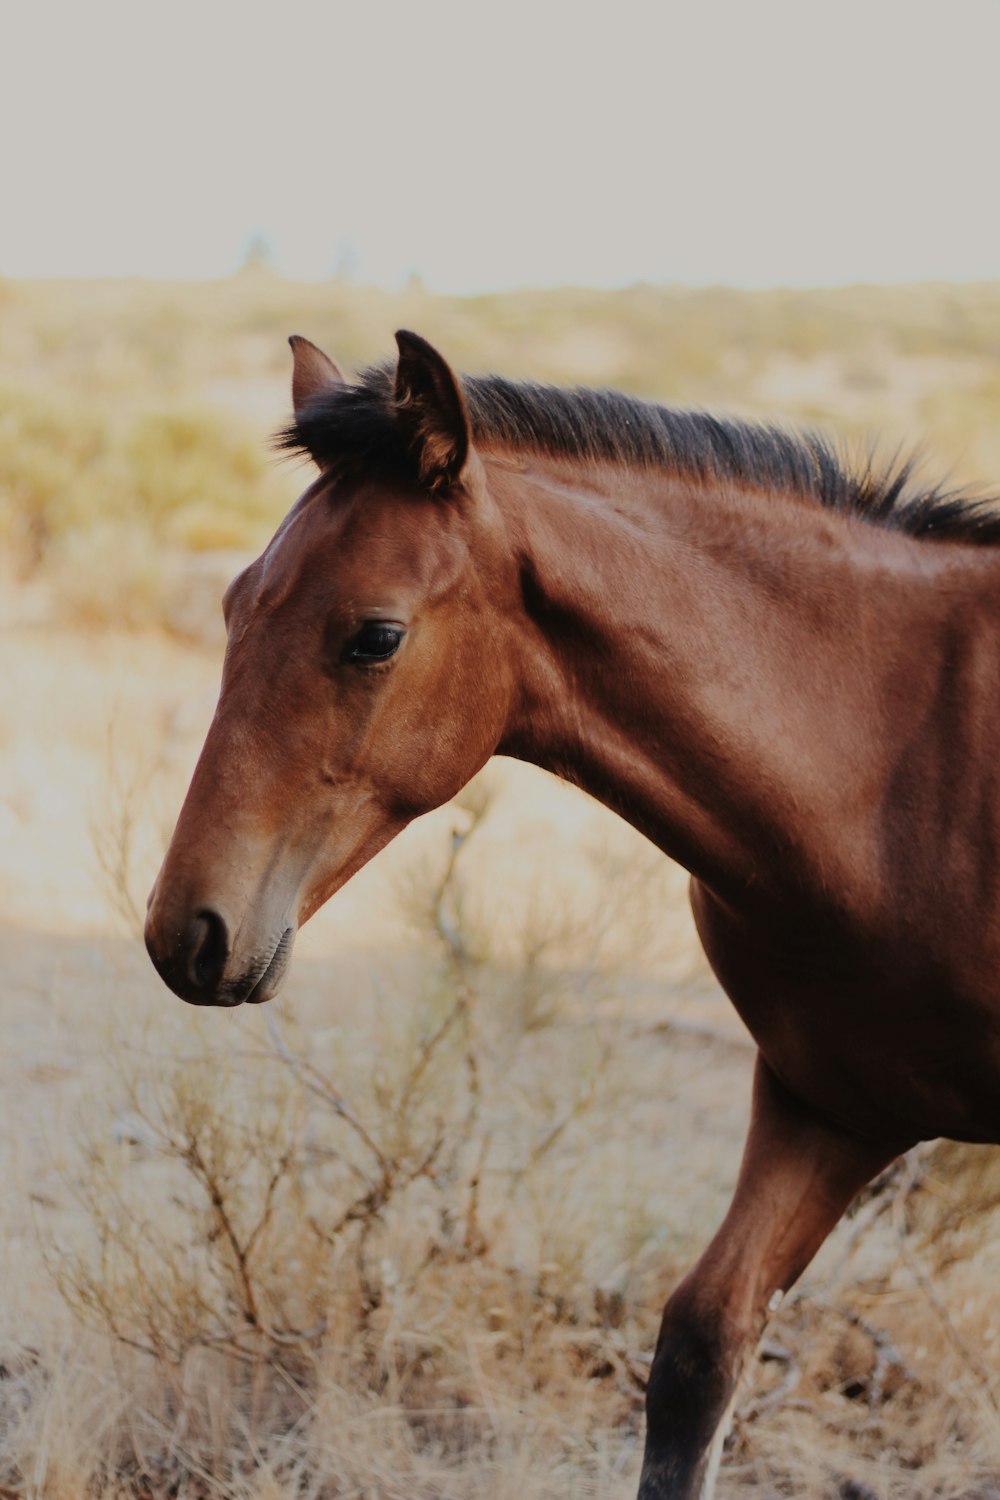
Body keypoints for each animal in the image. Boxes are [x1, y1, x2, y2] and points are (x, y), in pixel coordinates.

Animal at [142, 331, 1000, 1500]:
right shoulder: (825, 1104)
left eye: (374, 637)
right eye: (233, 606)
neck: (897, 767)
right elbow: (699, 1348)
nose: (188, 932)